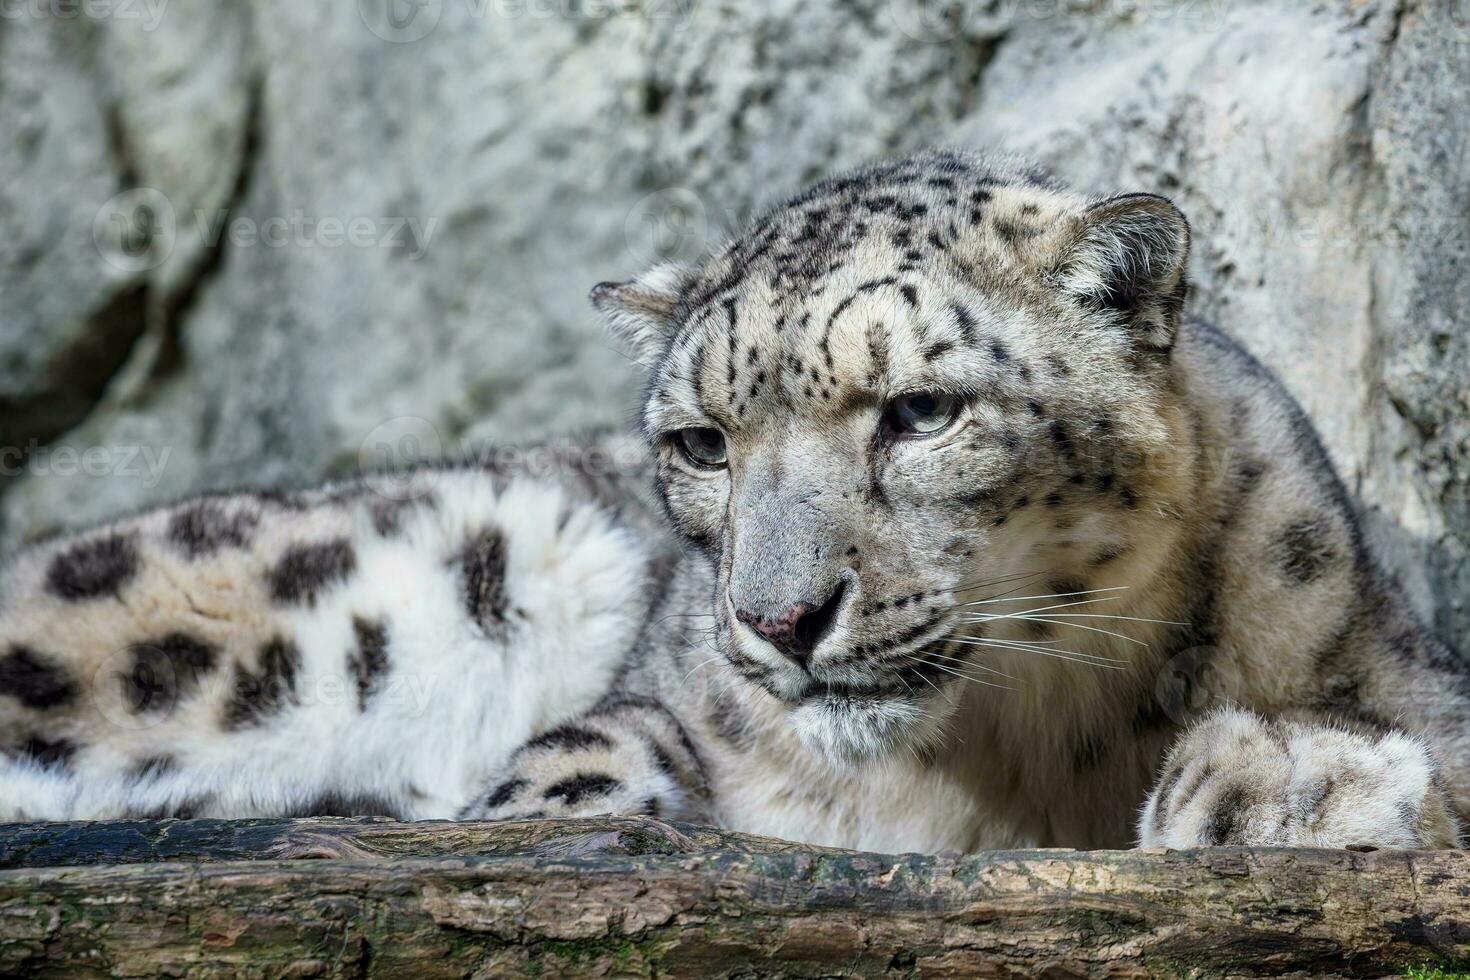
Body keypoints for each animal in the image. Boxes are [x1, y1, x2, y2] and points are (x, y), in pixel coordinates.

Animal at [2, 151, 1470, 852]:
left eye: (919, 413)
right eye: (703, 442)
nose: (776, 620)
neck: (1012, 755)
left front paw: (1292, 785)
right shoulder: (656, 694)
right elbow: (569, 761)